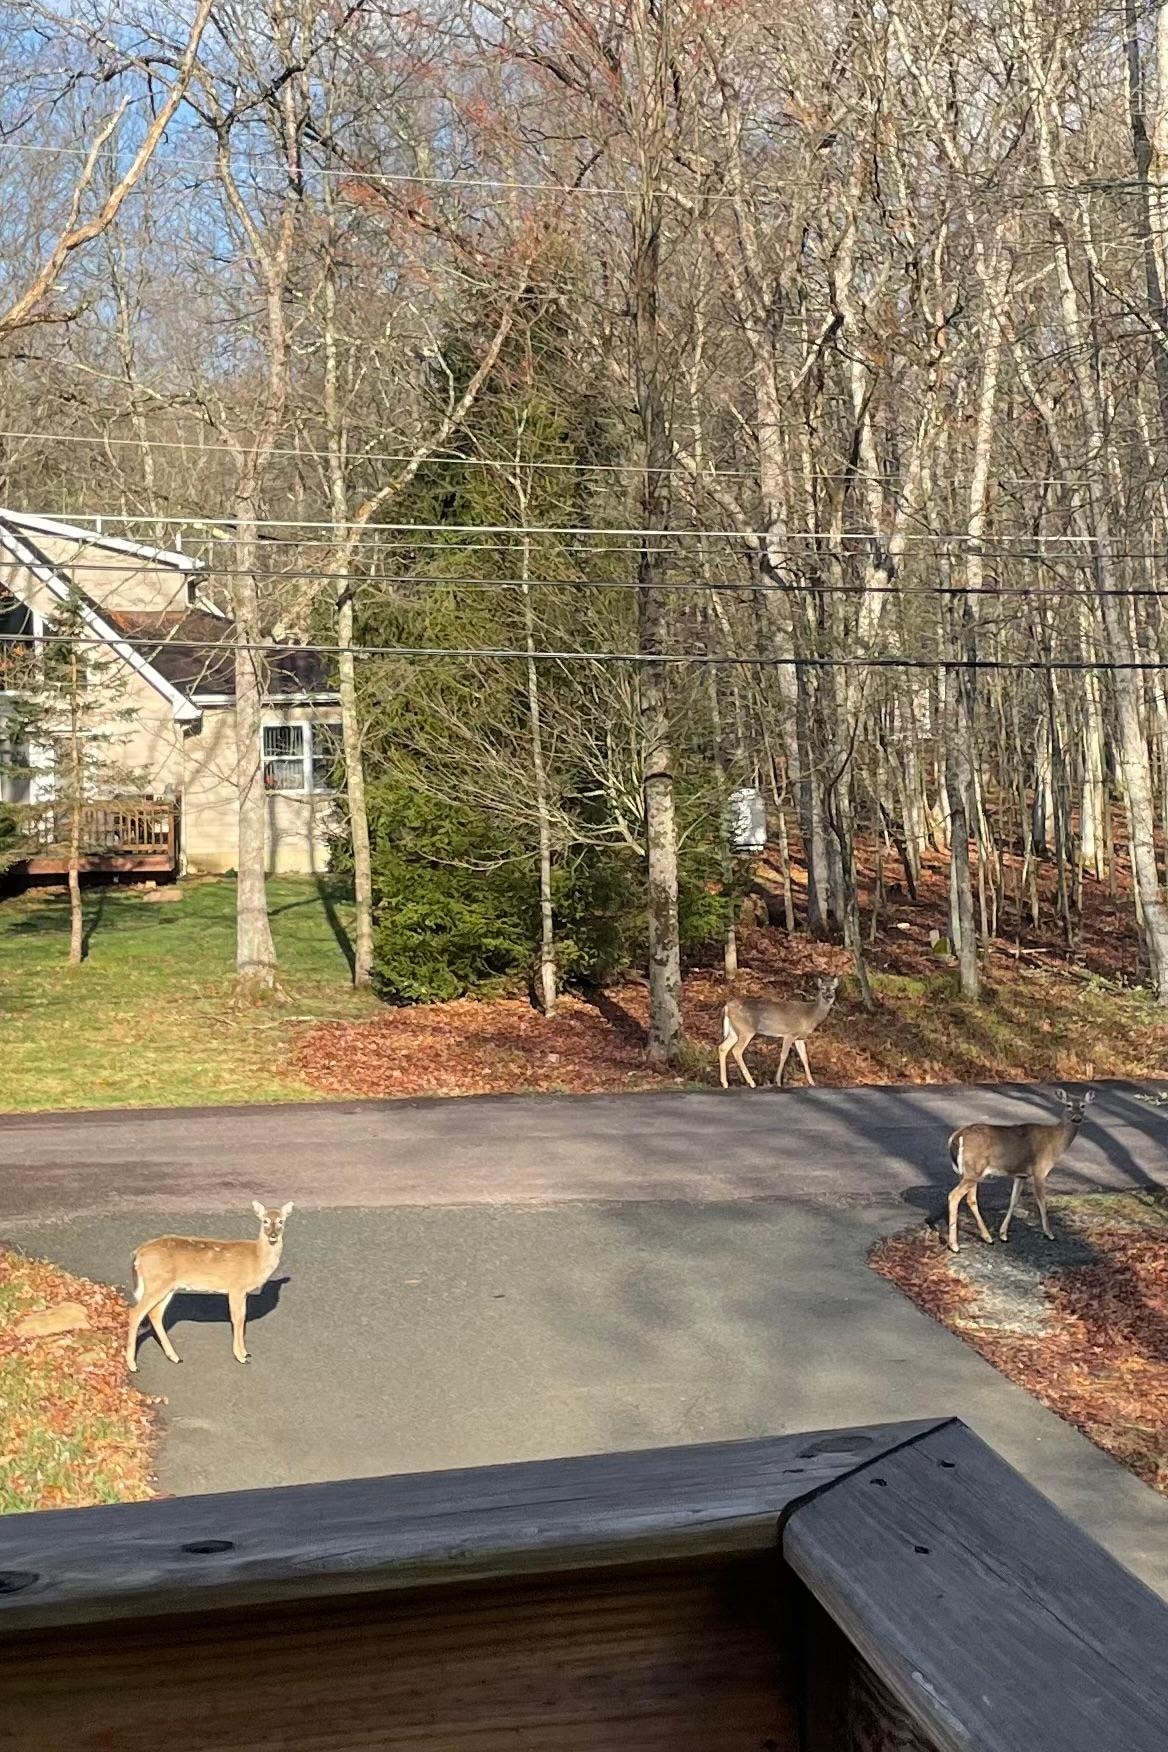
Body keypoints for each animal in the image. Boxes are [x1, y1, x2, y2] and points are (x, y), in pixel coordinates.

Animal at [125, 1201, 292, 1372]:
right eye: (265, 1220)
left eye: (281, 1221)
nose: (273, 1235)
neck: (256, 1259)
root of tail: (138, 1253)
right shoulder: (235, 1287)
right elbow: (237, 1319)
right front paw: (240, 1357)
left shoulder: (244, 1292)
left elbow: (243, 1317)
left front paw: (246, 1352)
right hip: (156, 1282)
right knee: (135, 1313)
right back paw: (133, 1365)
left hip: (167, 1286)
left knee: (155, 1314)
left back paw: (174, 1357)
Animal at [946, 1089, 1096, 1254]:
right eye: (1068, 1105)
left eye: (1083, 1105)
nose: (1077, 1118)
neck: (1054, 1142)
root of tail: (956, 1136)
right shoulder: (1039, 1170)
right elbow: (1041, 1201)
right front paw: (1049, 1234)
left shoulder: (1021, 1174)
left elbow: (1014, 1200)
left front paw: (1003, 1234)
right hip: (973, 1170)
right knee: (954, 1196)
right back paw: (954, 1245)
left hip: (969, 1172)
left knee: (970, 1199)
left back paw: (987, 1237)